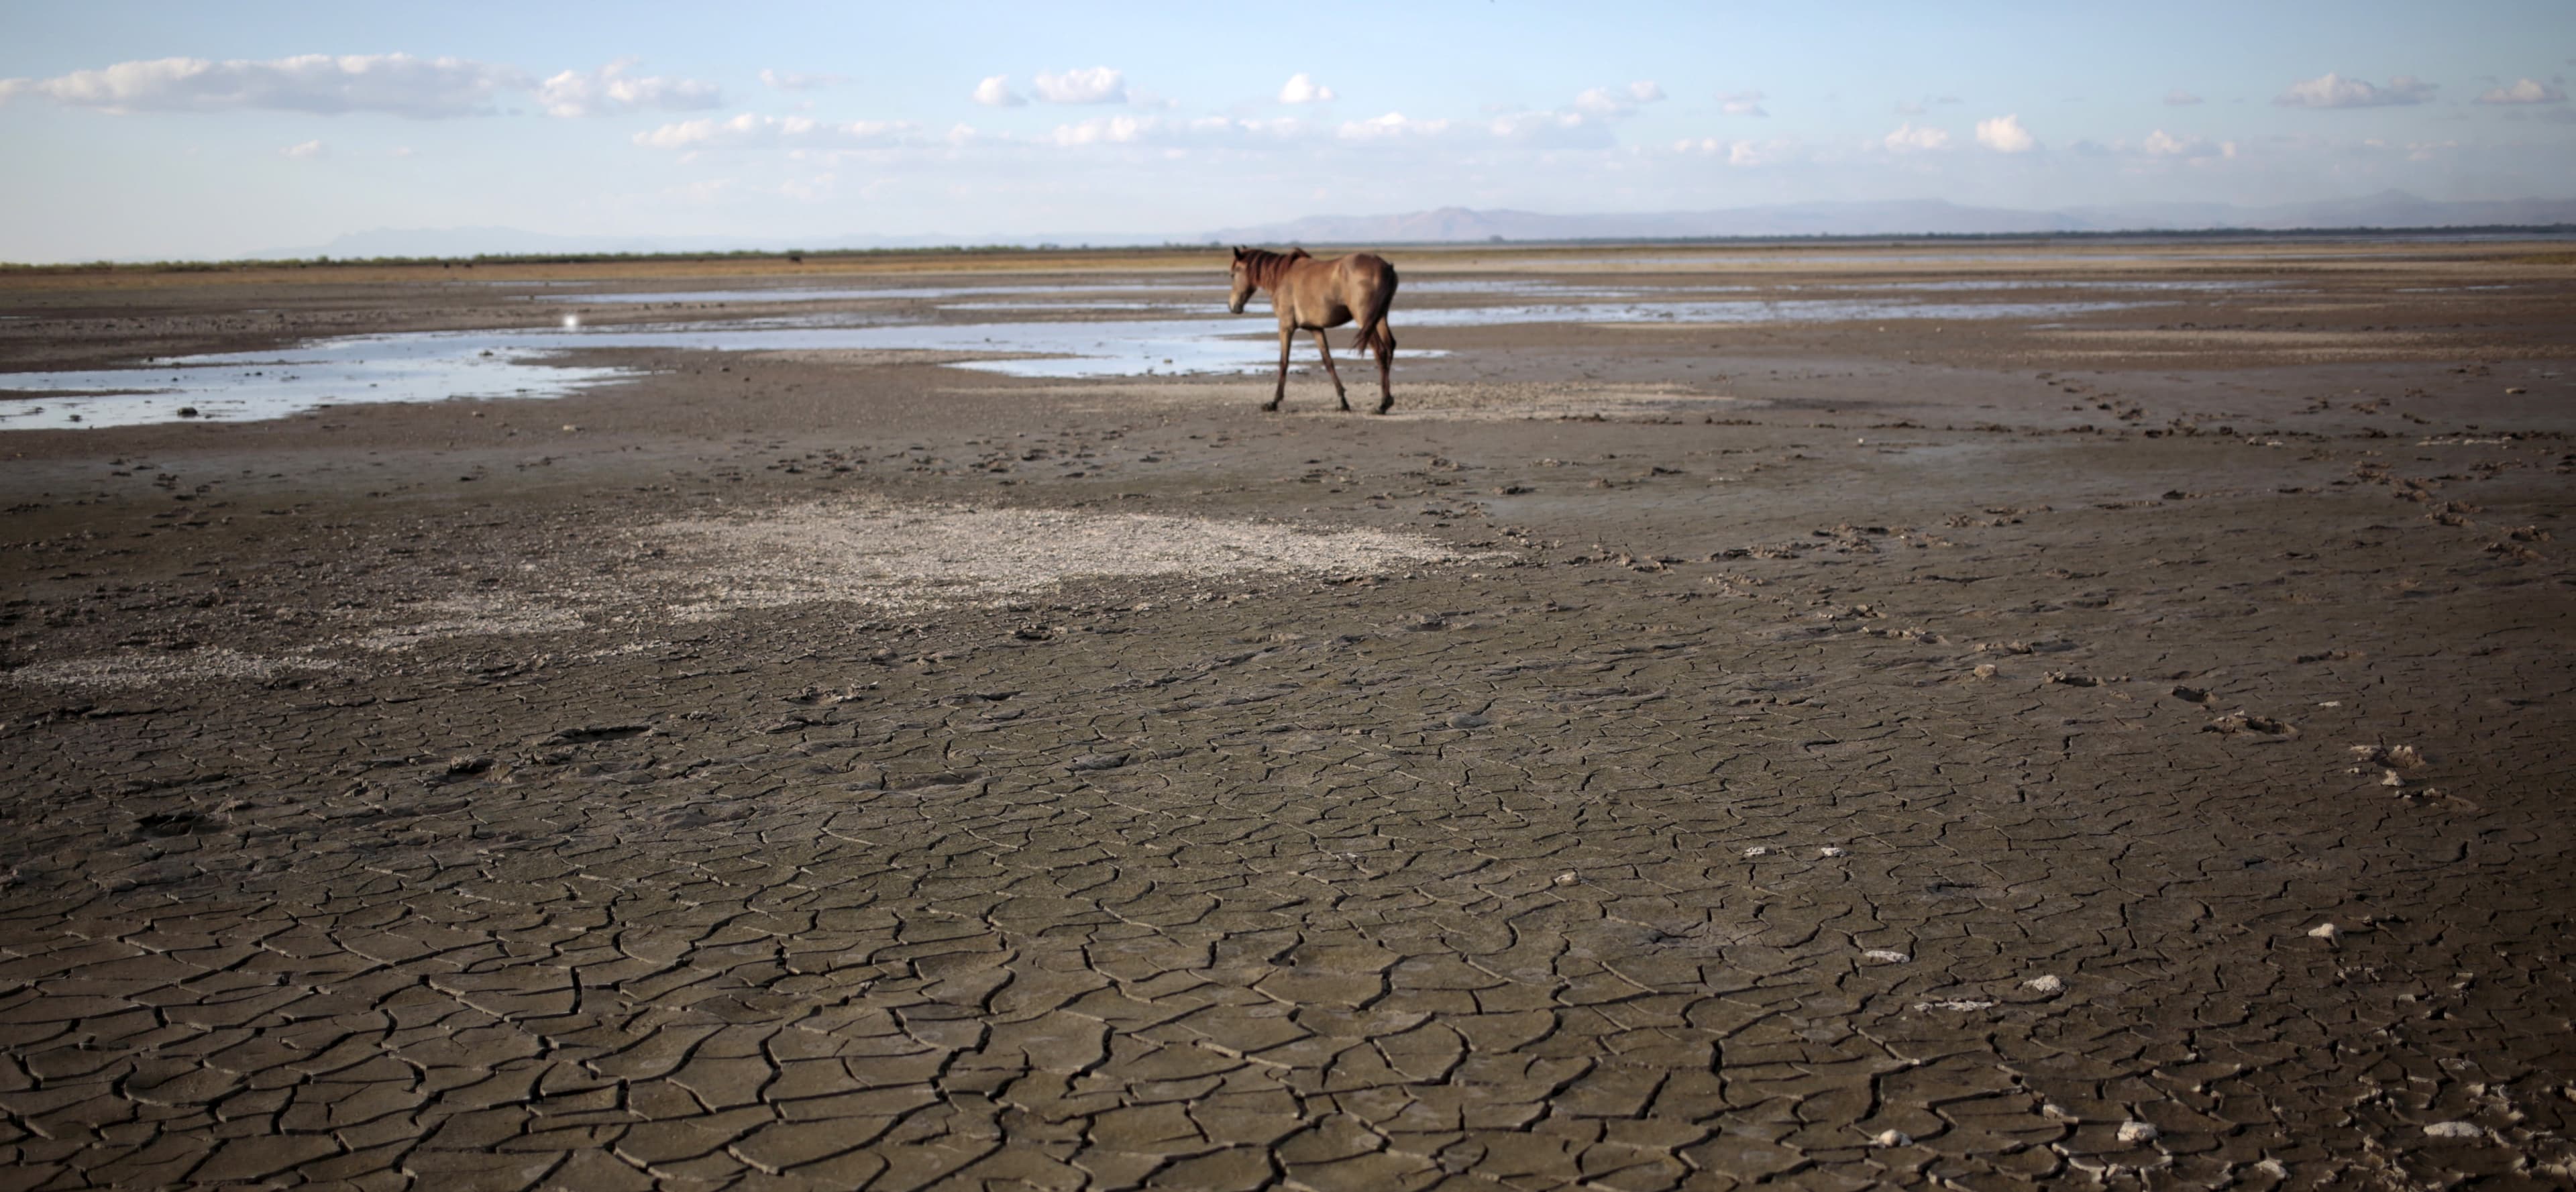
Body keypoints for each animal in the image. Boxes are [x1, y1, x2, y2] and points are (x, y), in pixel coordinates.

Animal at [1227, 246, 1400, 414]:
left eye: (1233, 274)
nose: (1233, 306)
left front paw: (1274, 402)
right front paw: (1343, 402)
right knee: (1389, 347)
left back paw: (1383, 404)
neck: (1282, 276)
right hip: (1380, 318)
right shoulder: (1316, 328)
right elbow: (1328, 361)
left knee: (1380, 352)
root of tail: (1387, 268)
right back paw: (1387, 401)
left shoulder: (1286, 327)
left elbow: (1284, 362)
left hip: (1364, 320)